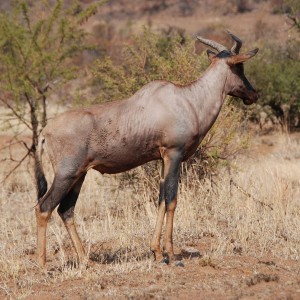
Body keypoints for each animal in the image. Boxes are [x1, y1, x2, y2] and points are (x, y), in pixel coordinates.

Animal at [34, 32, 258, 268]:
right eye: (239, 67)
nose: (254, 95)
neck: (186, 98)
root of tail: (45, 131)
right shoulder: (174, 154)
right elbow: (171, 199)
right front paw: (172, 256)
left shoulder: (162, 158)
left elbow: (160, 199)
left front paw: (157, 253)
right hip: (66, 174)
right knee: (44, 208)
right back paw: (43, 265)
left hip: (79, 175)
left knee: (66, 210)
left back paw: (87, 262)